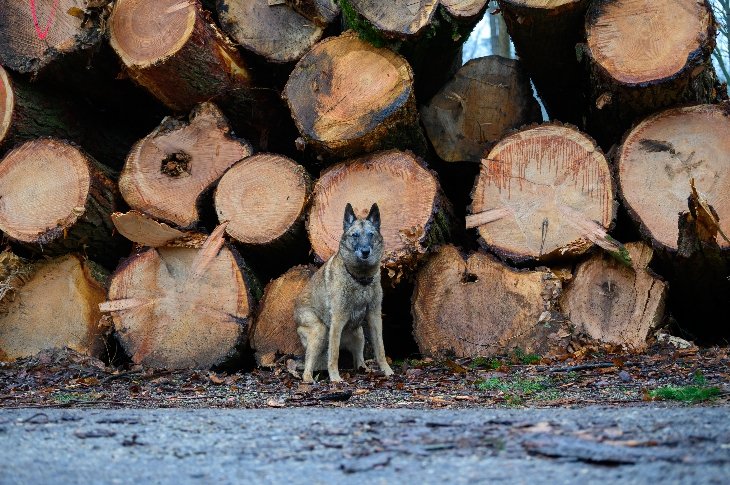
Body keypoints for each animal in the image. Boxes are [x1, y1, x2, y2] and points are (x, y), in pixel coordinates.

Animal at [292, 201, 392, 382]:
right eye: (355, 235)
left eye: (371, 234)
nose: (365, 251)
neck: (360, 279)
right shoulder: (337, 320)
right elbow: (334, 354)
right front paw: (335, 378)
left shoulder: (374, 316)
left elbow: (380, 348)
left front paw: (387, 371)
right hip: (320, 331)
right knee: (308, 366)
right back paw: (309, 379)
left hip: (359, 334)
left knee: (358, 360)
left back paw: (364, 370)